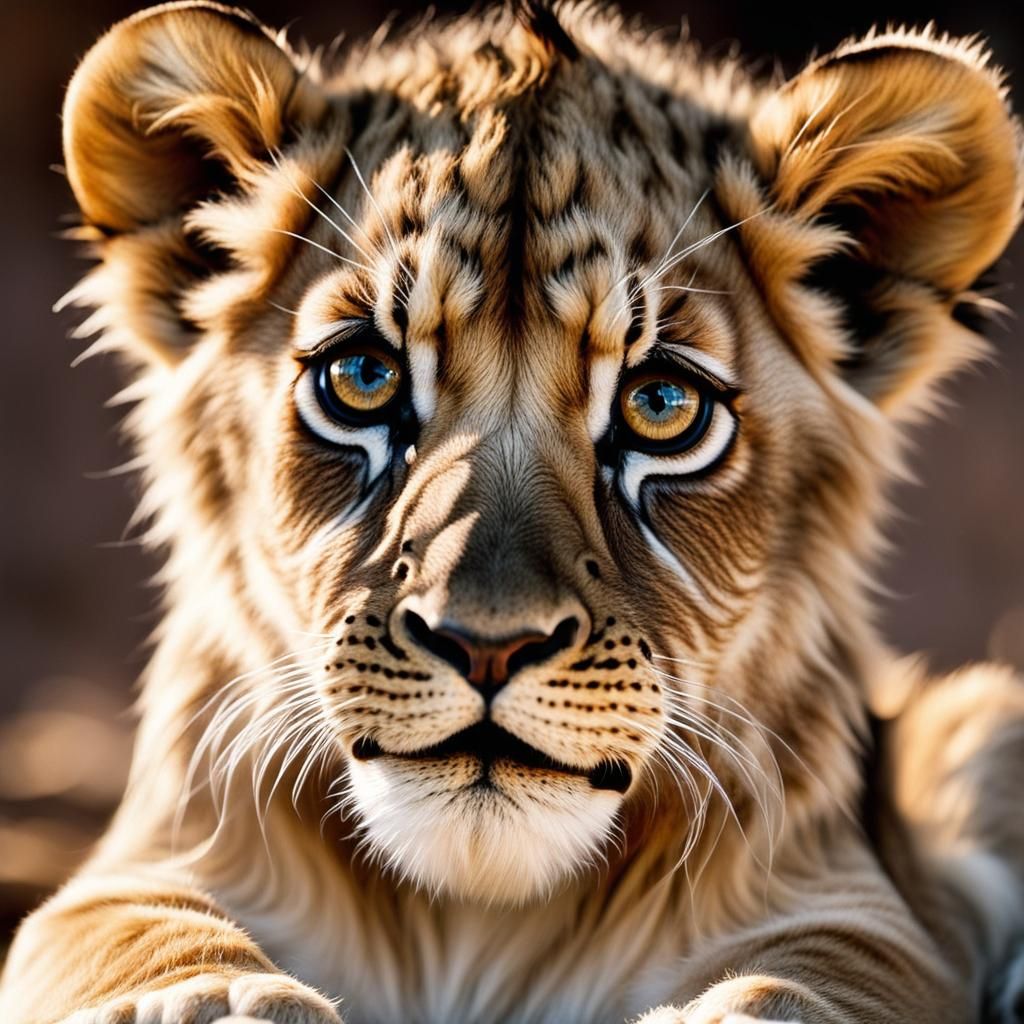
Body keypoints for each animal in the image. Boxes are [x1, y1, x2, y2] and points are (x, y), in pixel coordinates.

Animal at [2, 2, 1023, 1022]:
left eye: (661, 405)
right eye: (363, 377)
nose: (487, 646)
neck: (475, 916)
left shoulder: (864, 909)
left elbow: (800, 988)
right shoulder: (131, 872)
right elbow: (140, 941)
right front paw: (224, 1001)